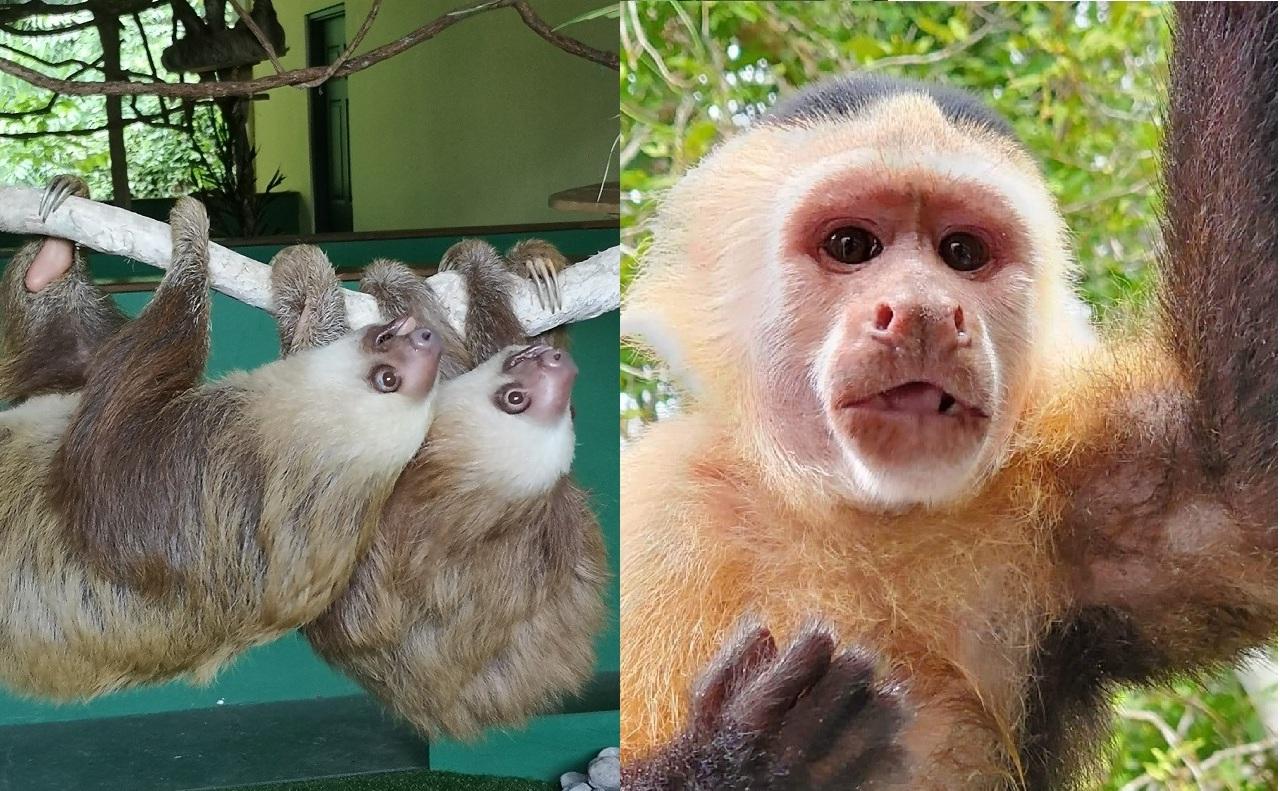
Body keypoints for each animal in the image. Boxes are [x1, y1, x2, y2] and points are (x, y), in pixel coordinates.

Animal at [0, 196, 445, 700]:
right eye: (386, 343)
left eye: (388, 375)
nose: (425, 337)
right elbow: (79, 368)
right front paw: (311, 289)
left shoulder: (191, 468)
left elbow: (102, 446)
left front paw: (192, 238)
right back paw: (48, 263)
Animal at [618, 3, 1275, 788]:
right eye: (851, 245)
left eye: (961, 253)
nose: (926, 312)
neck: (850, 514)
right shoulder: (653, 513)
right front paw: (751, 755)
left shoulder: (1051, 492)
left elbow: (1243, 499)